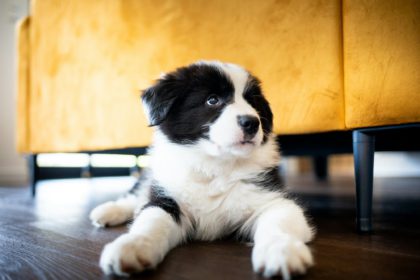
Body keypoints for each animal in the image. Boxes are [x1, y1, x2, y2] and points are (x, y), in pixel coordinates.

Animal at [90, 60, 314, 278]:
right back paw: (107, 211)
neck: (215, 165)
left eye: (252, 102)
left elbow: (279, 224)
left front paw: (282, 252)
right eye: (212, 100)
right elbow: (150, 221)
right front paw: (132, 247)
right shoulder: (167, 199)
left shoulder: (274, 199)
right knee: (136, 196)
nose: (252, 122)